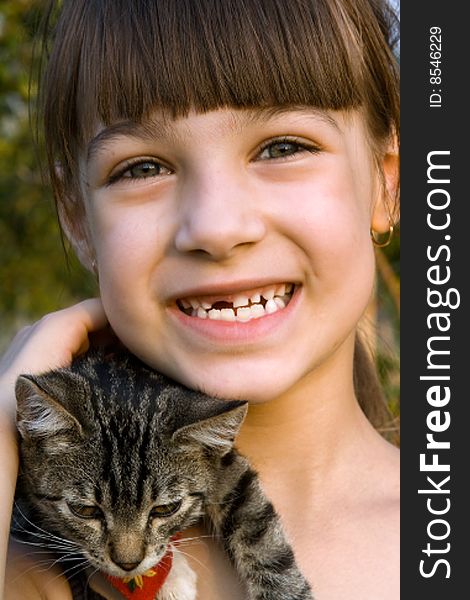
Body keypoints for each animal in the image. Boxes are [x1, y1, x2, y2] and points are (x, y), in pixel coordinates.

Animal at [12, 350, 314, 600]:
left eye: (166, 509)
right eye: (84, 511)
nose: (128, 563)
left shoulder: (224, 466)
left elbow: (259, 530)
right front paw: (168, 580)